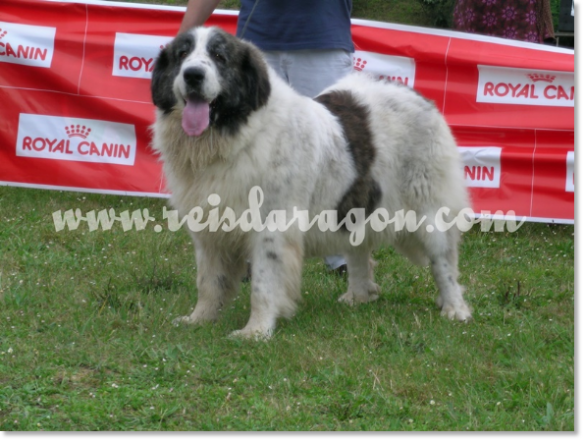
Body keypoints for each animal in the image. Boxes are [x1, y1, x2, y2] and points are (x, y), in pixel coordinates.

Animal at [152, 26, 474, 338]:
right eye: (182, 55)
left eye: (219, 56)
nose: (193, 74)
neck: (234, 137)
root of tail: (417, 96)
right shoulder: (209, 227)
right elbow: (209, 280)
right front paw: (200, 319)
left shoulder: (272, 226)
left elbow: (263, 283)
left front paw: (256, 331)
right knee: (359, 250)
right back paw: (359, 296)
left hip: (429, 209)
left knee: (444, 260)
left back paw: (455, 308)